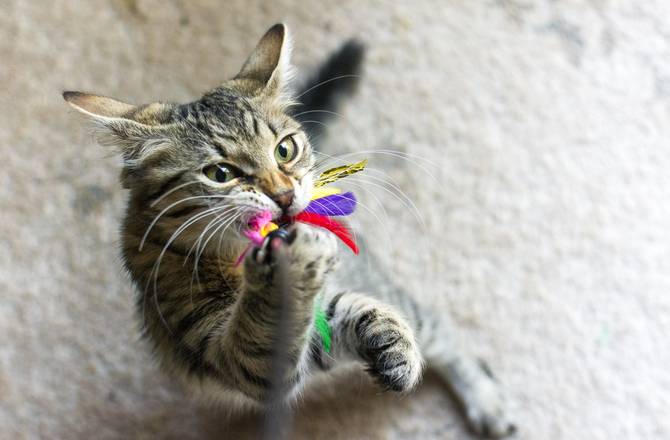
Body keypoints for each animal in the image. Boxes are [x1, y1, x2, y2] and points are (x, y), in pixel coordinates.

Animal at [63, 24, 516, 436]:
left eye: (285, 150)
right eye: (220, 173)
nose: (283, 196)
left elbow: (348, 309)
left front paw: (389, 340)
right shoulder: (225, 348)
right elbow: (271, 322)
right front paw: (293, 267)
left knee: (438, 327)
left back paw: (486, 402)